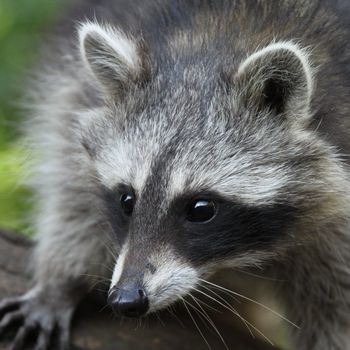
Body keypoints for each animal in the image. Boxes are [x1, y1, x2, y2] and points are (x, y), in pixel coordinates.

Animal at [0, 0, 350, 348]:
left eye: (201, 209)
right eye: (127, 200)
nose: (126, 299)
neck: (213, 43)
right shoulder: (76, 88)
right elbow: (69, 183)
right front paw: (61, 280)